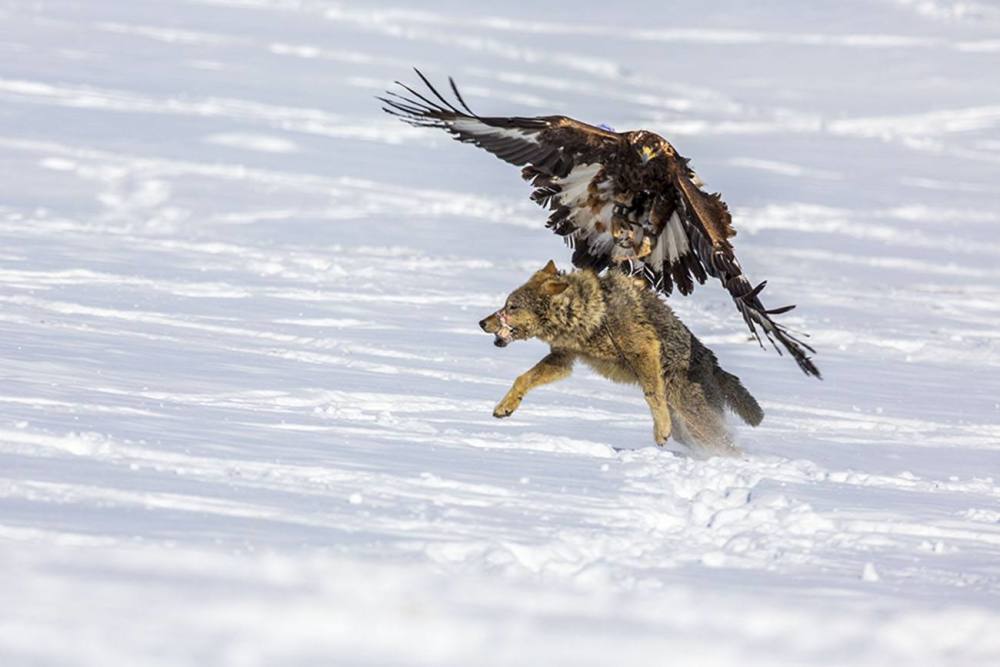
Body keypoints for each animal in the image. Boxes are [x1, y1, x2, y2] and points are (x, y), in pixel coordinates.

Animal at [480, 260, 760, 454]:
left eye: (511, 307)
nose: (482, 322)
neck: (590, 314)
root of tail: (714, 364)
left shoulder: (643, 350)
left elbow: (652, 394)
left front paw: (660, 431)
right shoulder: (563, 360)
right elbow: (523, 378)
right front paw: (505, 406)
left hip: (696, 420)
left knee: (730, 447)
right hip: (690, 431)